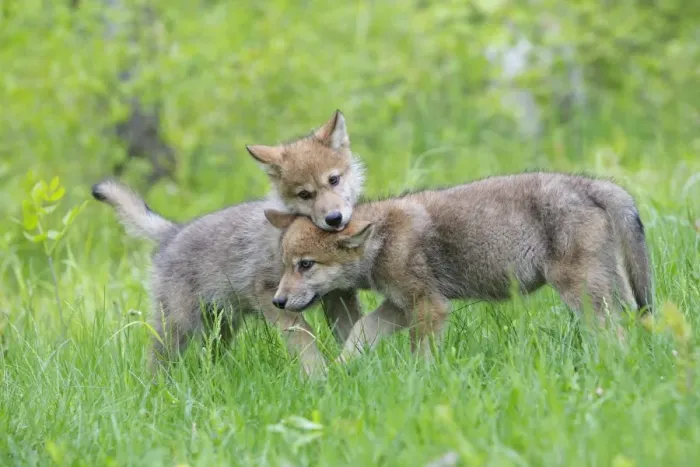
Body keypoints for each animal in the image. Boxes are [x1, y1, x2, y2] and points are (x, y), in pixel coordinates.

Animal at [92, 110, 365, 376]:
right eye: (305, 194)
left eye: (333, 180)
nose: (334, 218)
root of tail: (173, 231)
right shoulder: (270, 295)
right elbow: (304, 338)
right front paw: (318, 375)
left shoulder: (340, 297)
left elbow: (355, 330)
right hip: (179, 326)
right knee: (157, 362)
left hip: (221, 325)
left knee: (208, 358)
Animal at [265, 171, 653, 362]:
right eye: (286, 266)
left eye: (305, 265)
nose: (277, 302)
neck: (383, 240)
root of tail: (590, 184)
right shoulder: (399, 306)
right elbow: (361, 332)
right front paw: (340, 371)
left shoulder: (429, 306)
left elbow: (420, 355)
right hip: (608, 289)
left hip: (580, 291)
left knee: (613, 333)